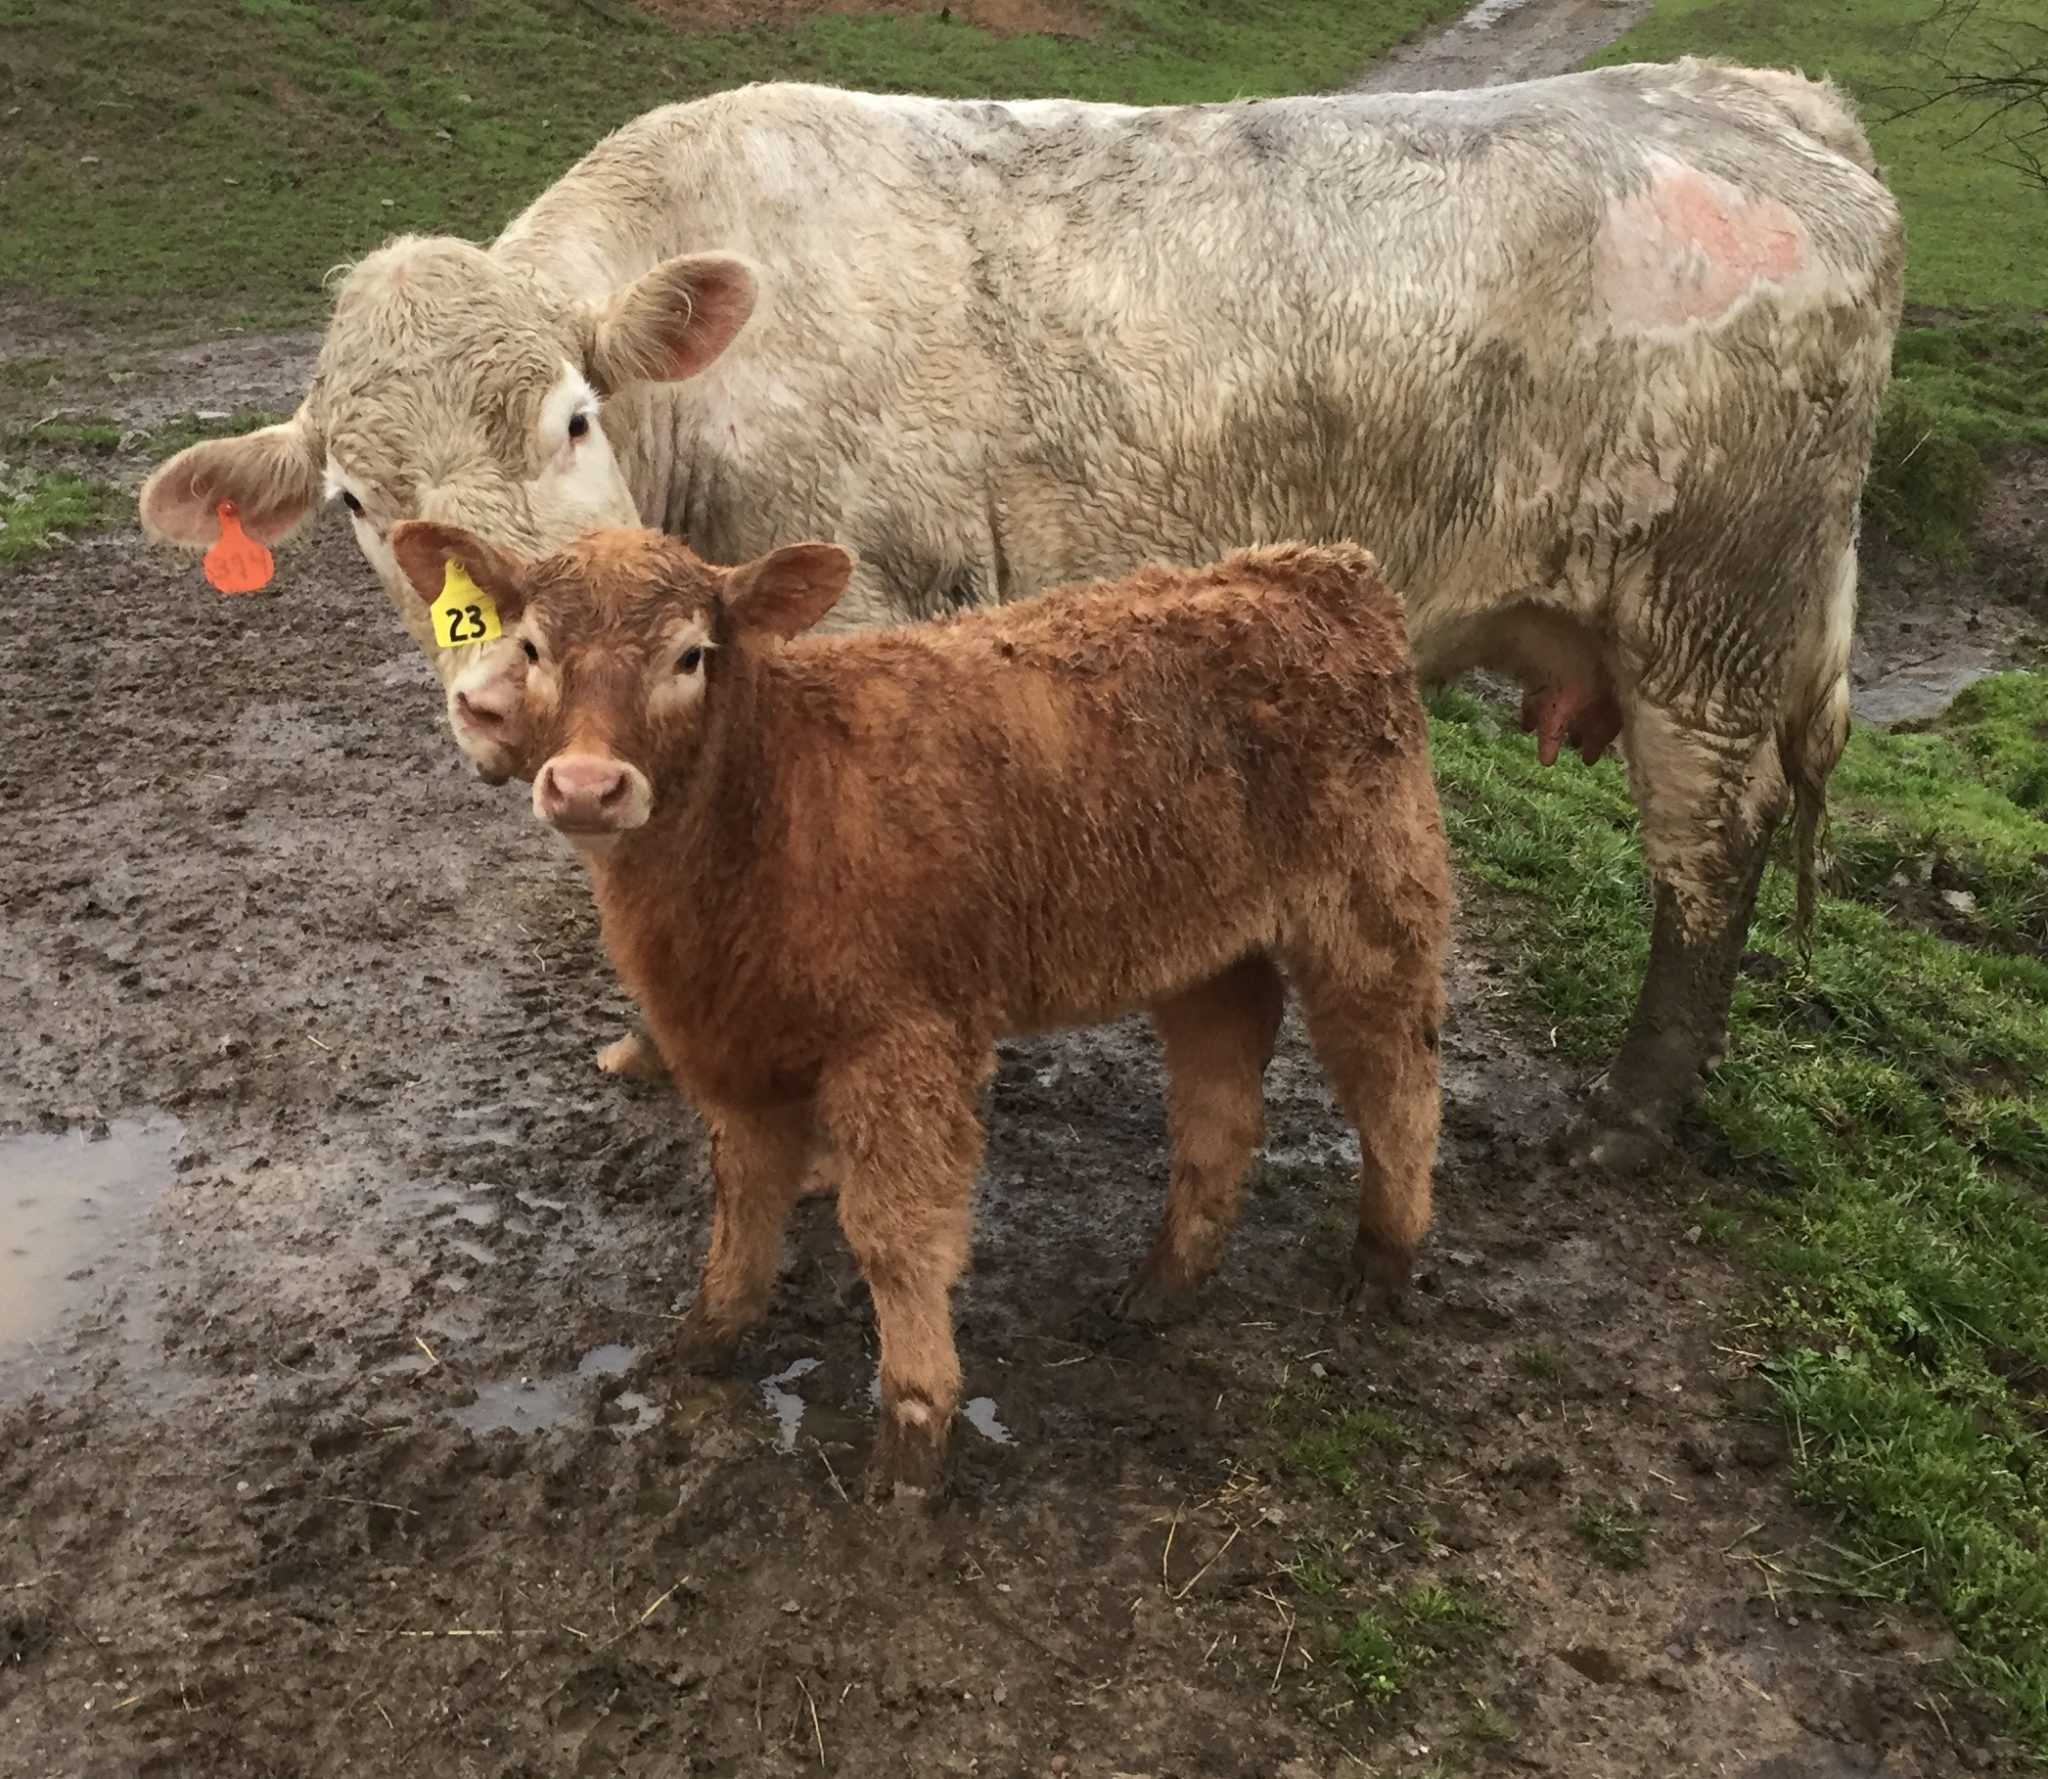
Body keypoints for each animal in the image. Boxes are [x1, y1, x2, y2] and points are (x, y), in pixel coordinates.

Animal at [139, 58, 1904, 1162]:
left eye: (574, 418)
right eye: (358, 504)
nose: (499, 692)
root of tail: (1756, 93)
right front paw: (651, 1046)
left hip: (1714, 615)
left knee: (1710, 852)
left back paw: (1626, 1117)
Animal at [382, 521, 1449, 1491]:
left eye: (691, 655)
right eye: (531, 647)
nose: (586, 786)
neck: (770, 802)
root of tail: (1315, 569)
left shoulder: (901, 1041)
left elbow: (896, 1235)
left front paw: (913, 1431)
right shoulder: (729, 1041)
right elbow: (744, 1195)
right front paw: (706, 1338)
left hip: (1372, 907)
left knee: (1395, 1081)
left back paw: (1383, 1261)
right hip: (1203, 948)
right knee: (1221, 1097)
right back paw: (1160, 1287)